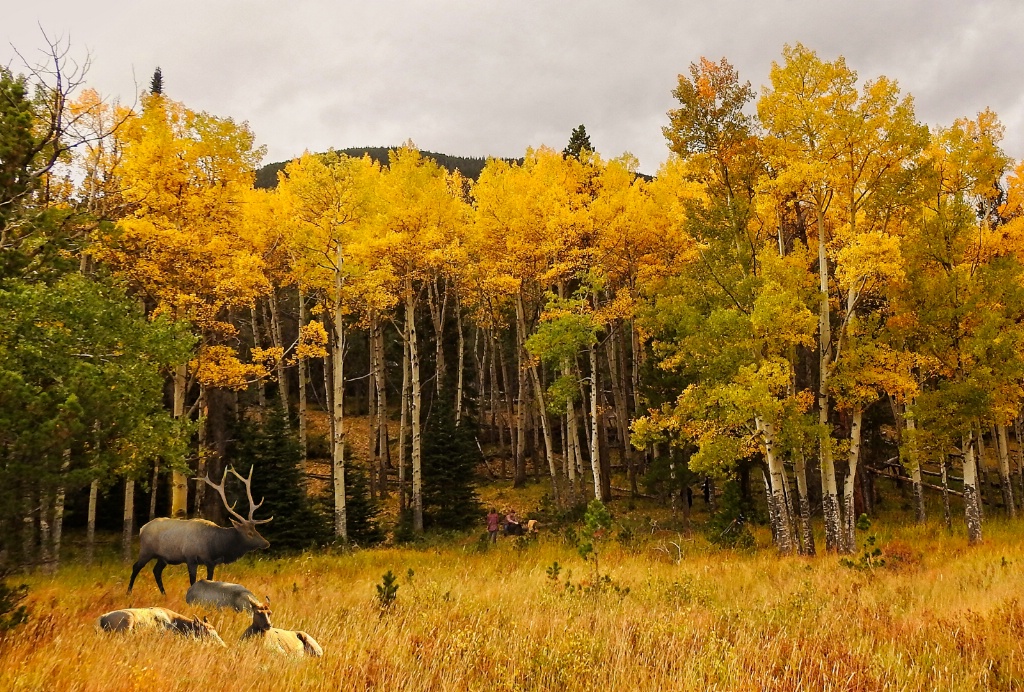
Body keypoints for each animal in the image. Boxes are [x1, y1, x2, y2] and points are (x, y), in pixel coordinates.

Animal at [126, 462, 272, 593]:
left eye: (256, 530)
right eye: (249, 533)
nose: (266, 543)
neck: (216, 546)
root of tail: (142, 528)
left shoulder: (211, 563)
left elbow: (210, 580)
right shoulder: (191, 558)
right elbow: (193, 581)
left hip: (163, 557)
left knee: (156, 571)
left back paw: (164, 594)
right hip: (146, 550)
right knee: (135, 567)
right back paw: (129, 592)